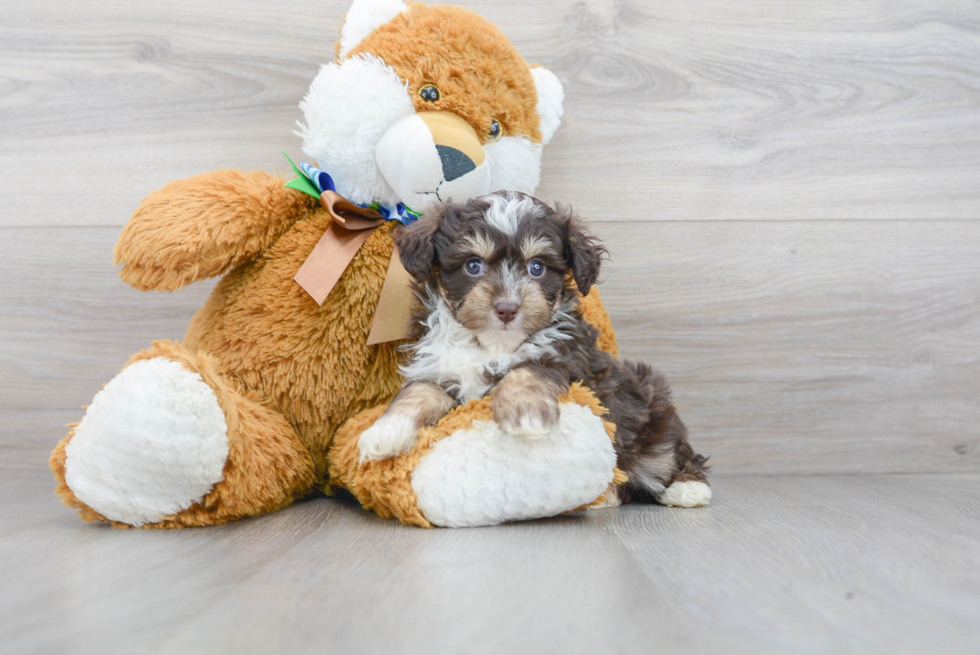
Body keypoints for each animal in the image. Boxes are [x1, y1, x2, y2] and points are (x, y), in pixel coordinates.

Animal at [360, 190, 712, 508]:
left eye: (537, 268)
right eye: (473, 265)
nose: (507, 308)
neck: (492, 345)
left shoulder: (567, 357)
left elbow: (527, 370)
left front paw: (526, 413)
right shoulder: (438, 365)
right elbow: (418, 391)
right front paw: (386, 431)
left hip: (655, 416)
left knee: (670, 457)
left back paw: (687, 488)